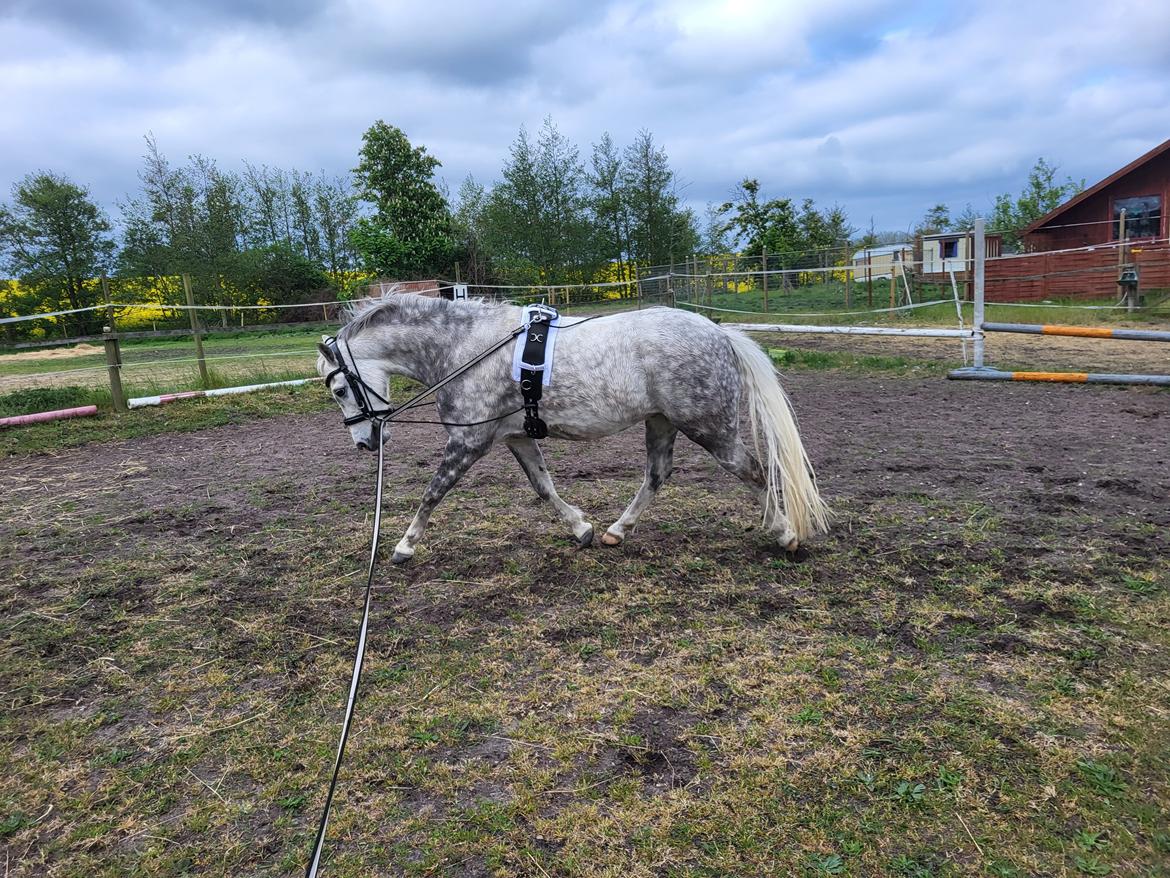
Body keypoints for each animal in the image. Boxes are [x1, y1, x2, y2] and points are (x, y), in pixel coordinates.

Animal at [316, 294, 829, 564]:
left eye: (339, 389)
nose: (365, 441)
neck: (465, 349)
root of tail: (719, 333)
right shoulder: (515, 436)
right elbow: (543, 488)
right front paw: (582, 528)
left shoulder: (468, 440)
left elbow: (433, 492)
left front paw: (403, 546)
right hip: (662, 422)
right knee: (657, 475)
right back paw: (616, 531)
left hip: (709, 427)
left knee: (753, 471)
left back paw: (785, 535)